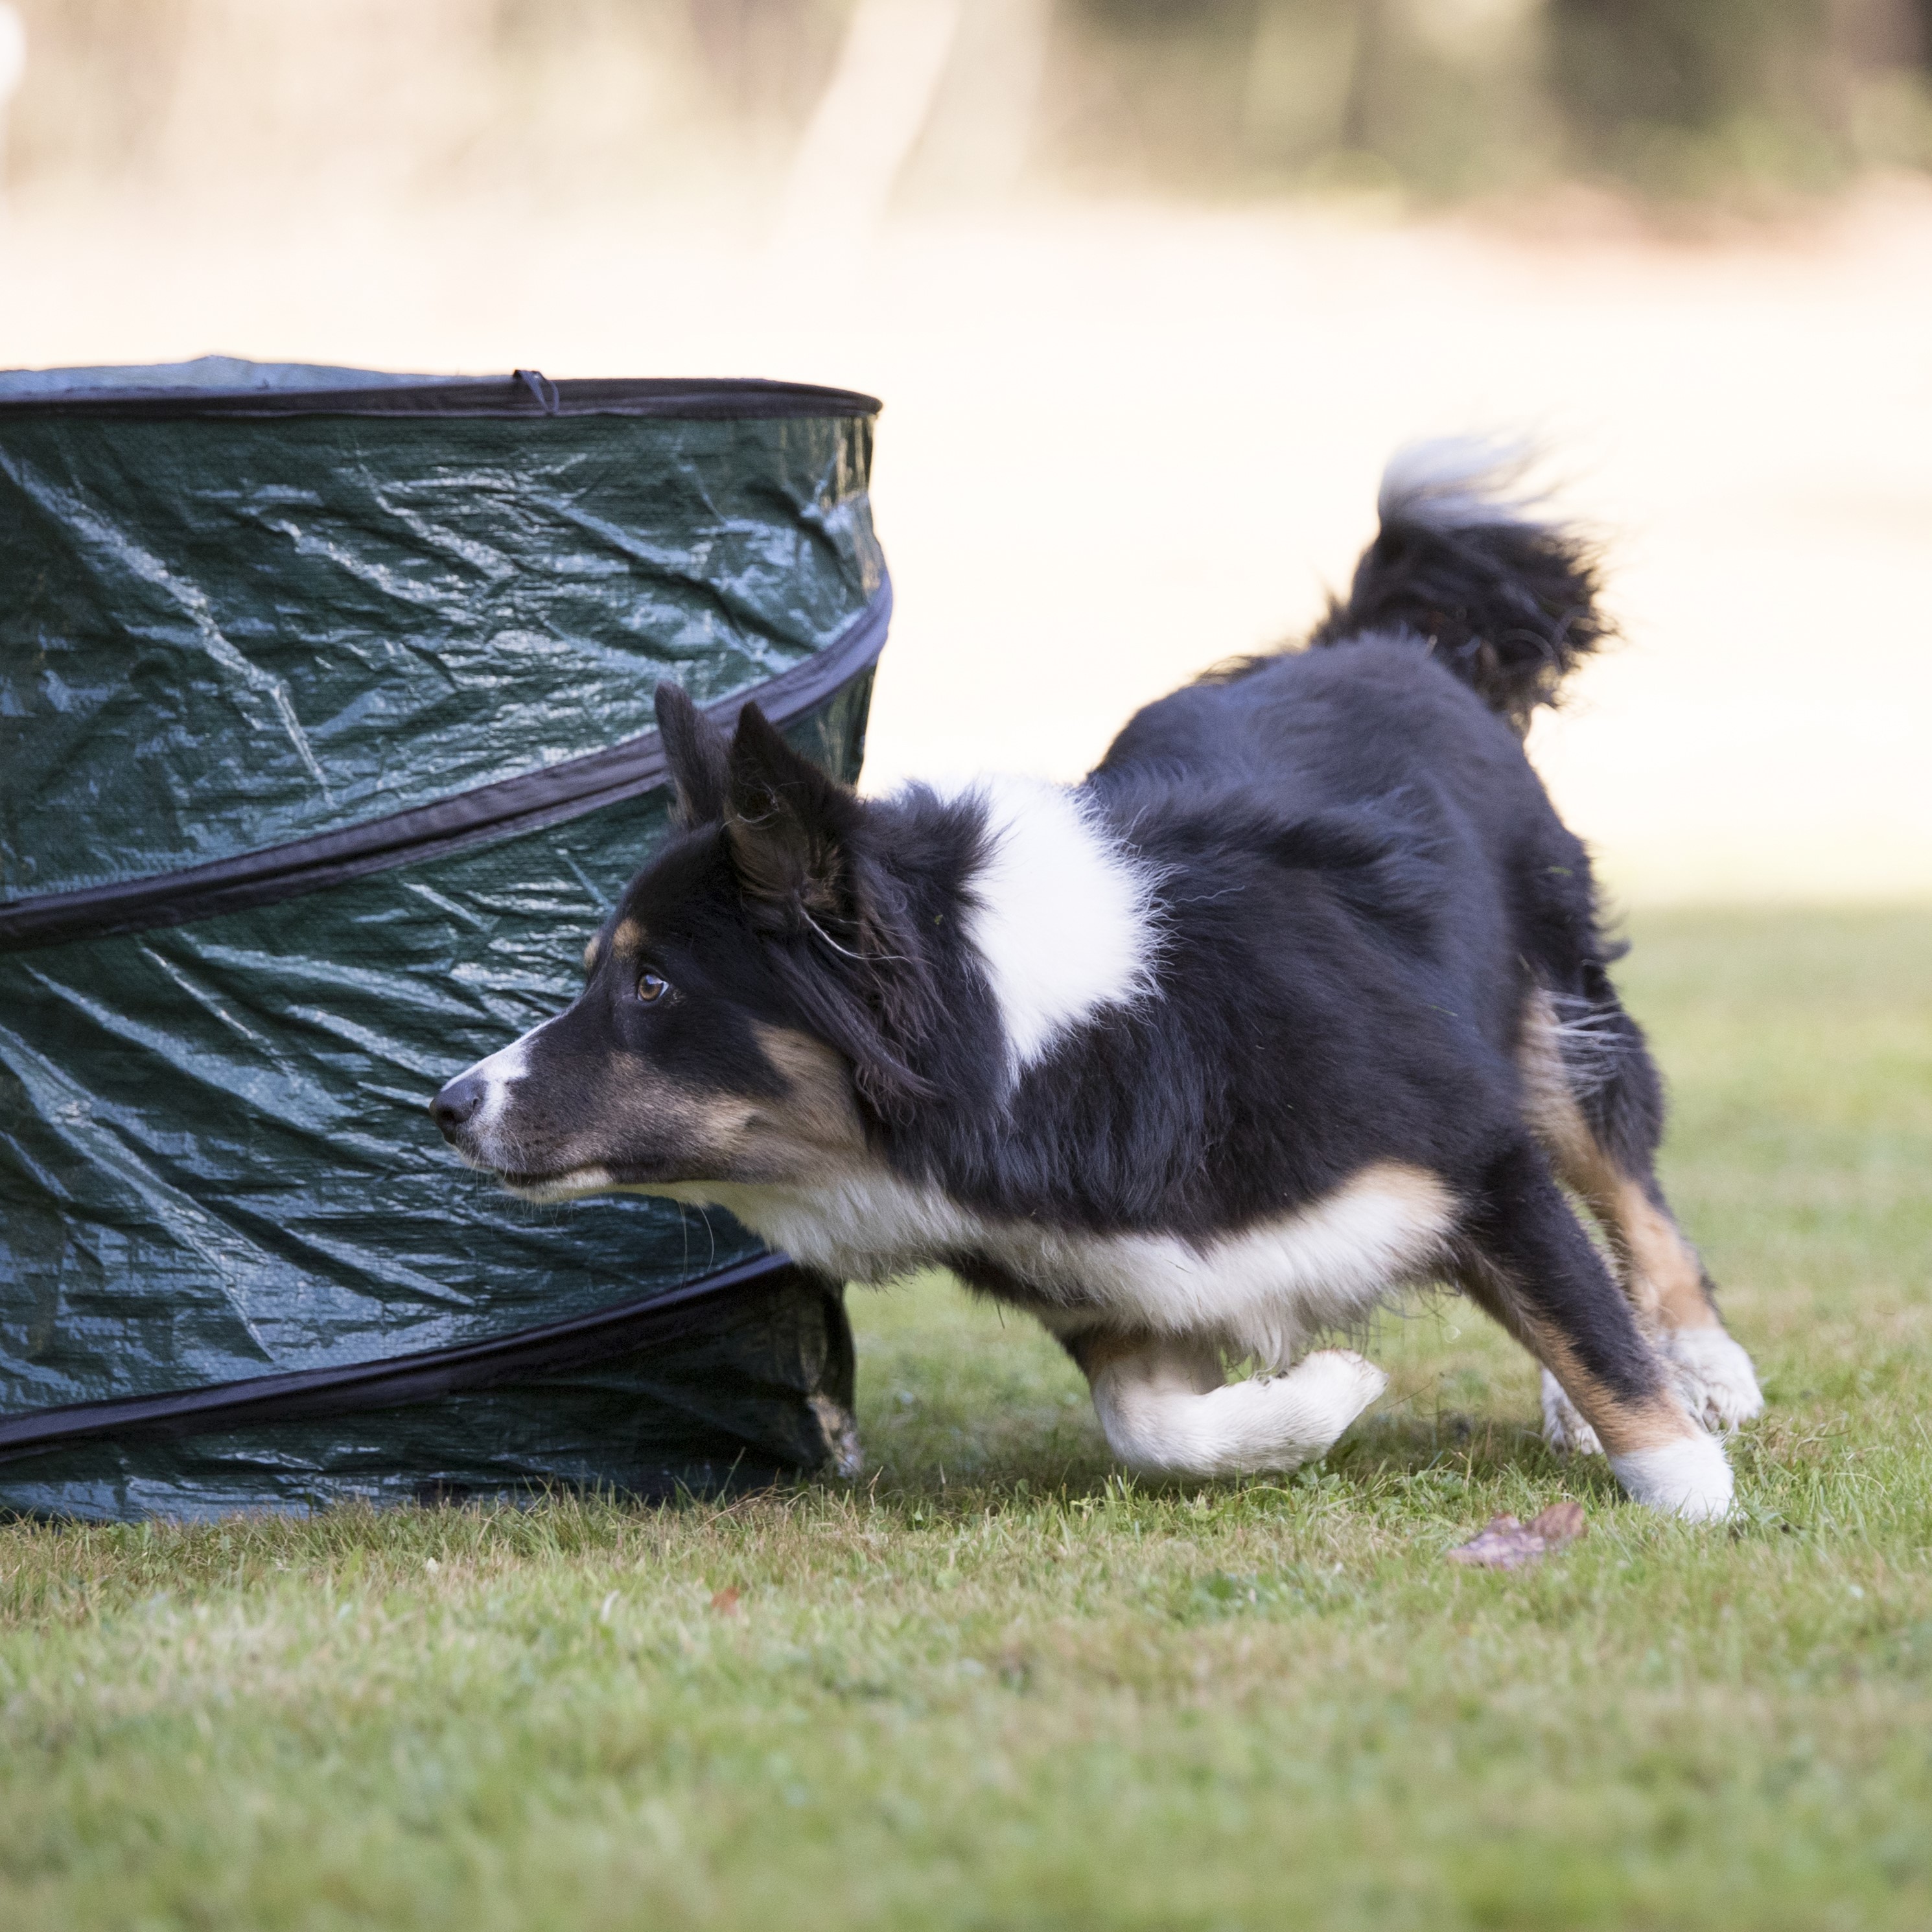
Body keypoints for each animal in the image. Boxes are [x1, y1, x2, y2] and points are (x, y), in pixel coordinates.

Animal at [438, 444, 1769, 1515]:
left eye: (652, 987)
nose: (448, 1104)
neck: (1054, 1050)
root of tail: (1363, 641)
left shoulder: (1470, 1146)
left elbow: (1593, 1327)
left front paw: (1687, 1486)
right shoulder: (1109, 1277)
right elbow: (1157, 1429)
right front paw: (1324, 1394)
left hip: (1552, 1019)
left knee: (1628, 1199)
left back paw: (1700, 1367)